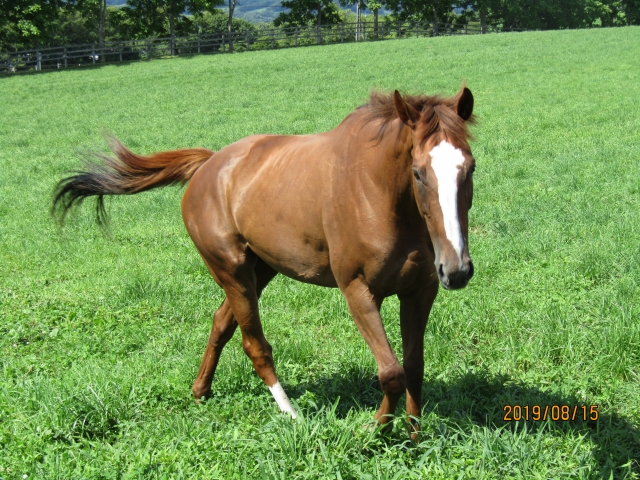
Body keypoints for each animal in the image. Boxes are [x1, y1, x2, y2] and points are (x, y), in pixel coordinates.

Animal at [53, 84, 476, 434]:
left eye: (470, 168)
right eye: (418, 173)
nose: (457, 271)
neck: (377, 193)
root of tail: (208, 164)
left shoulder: (419, 292)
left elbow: (414, 368)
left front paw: (414, 436)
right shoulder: (357, 290)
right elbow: (391, 372)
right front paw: (374, 432)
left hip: (260, 269)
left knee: (221, 324)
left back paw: (200, 390)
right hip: (233, 270)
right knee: (254, 344)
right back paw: (292, 414)